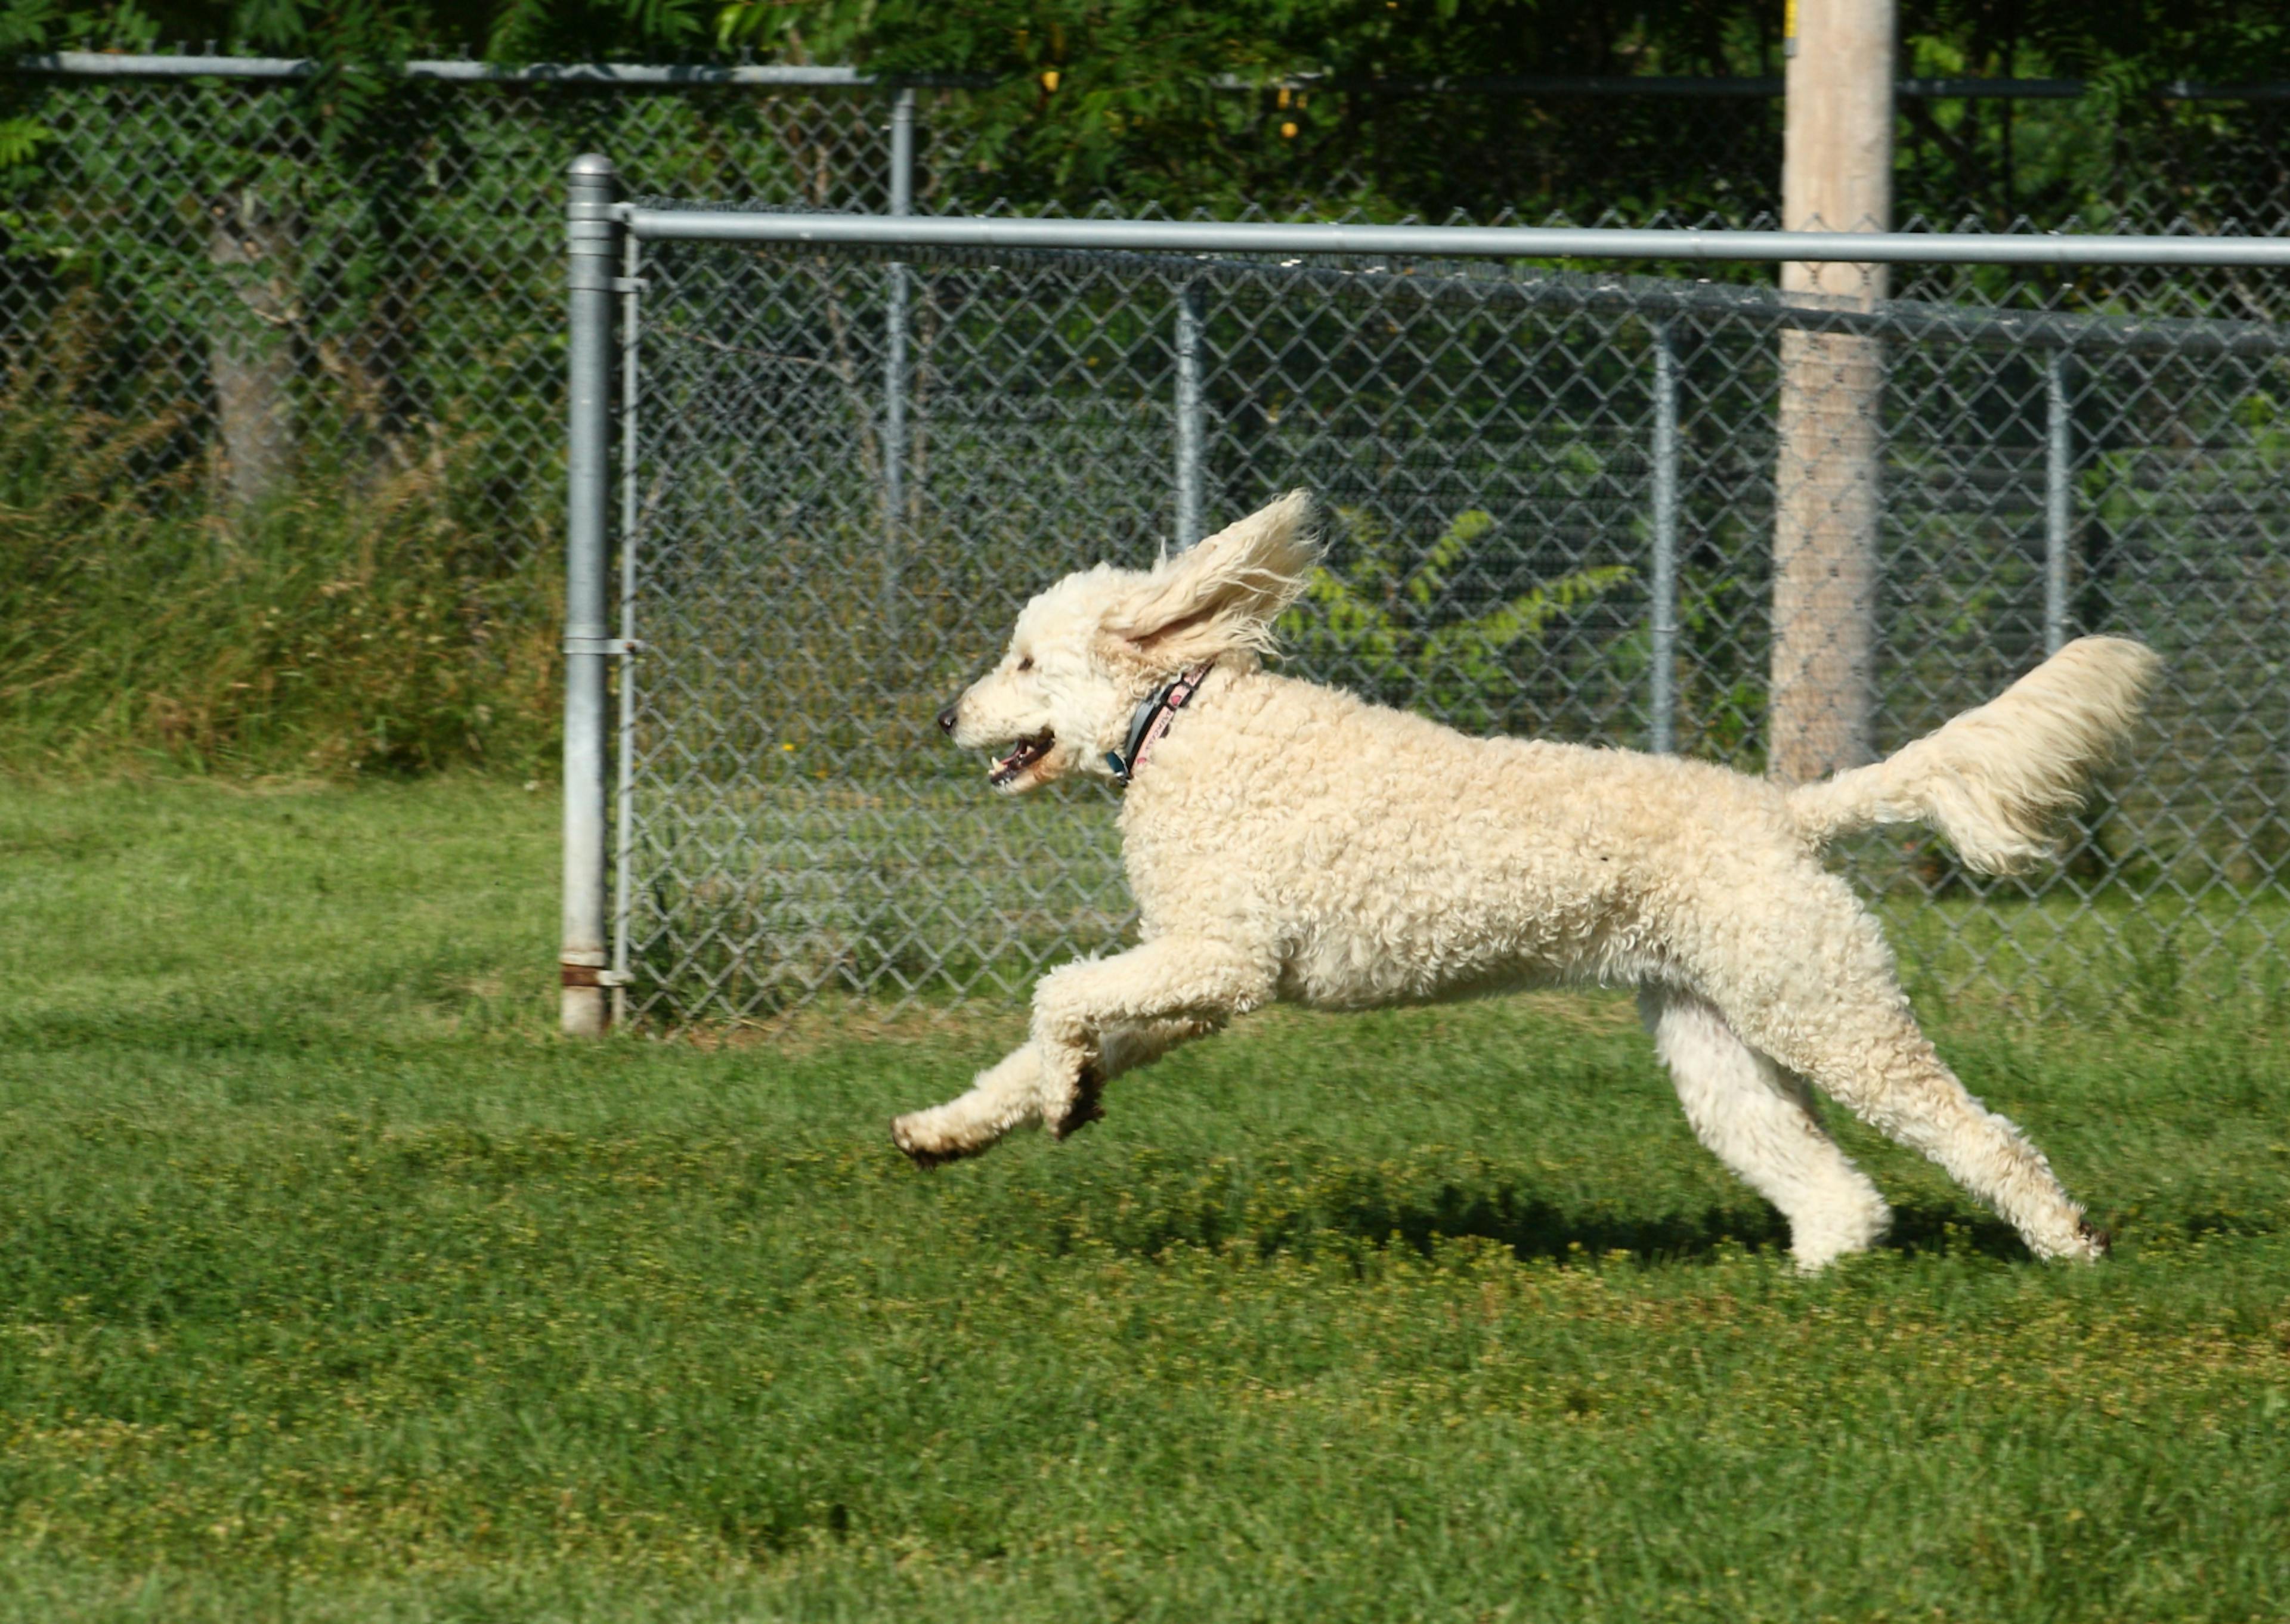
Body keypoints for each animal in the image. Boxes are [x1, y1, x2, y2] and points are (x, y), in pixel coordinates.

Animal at [888, 488, 2143, 1273]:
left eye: (1025, 660)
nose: (945, 715)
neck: (1184, 723)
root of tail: (1785, 810)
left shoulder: (1224, 958)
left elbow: (1056, 994)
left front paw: (1066, 1097)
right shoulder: (1185, 978)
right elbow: (1043, 1037)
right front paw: (960, 1126)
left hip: (1825, 1006)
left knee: (1978, 1131)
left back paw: (2067, 1243)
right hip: (1717, 1031)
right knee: (1832, 1184)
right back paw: (1811, 1281)